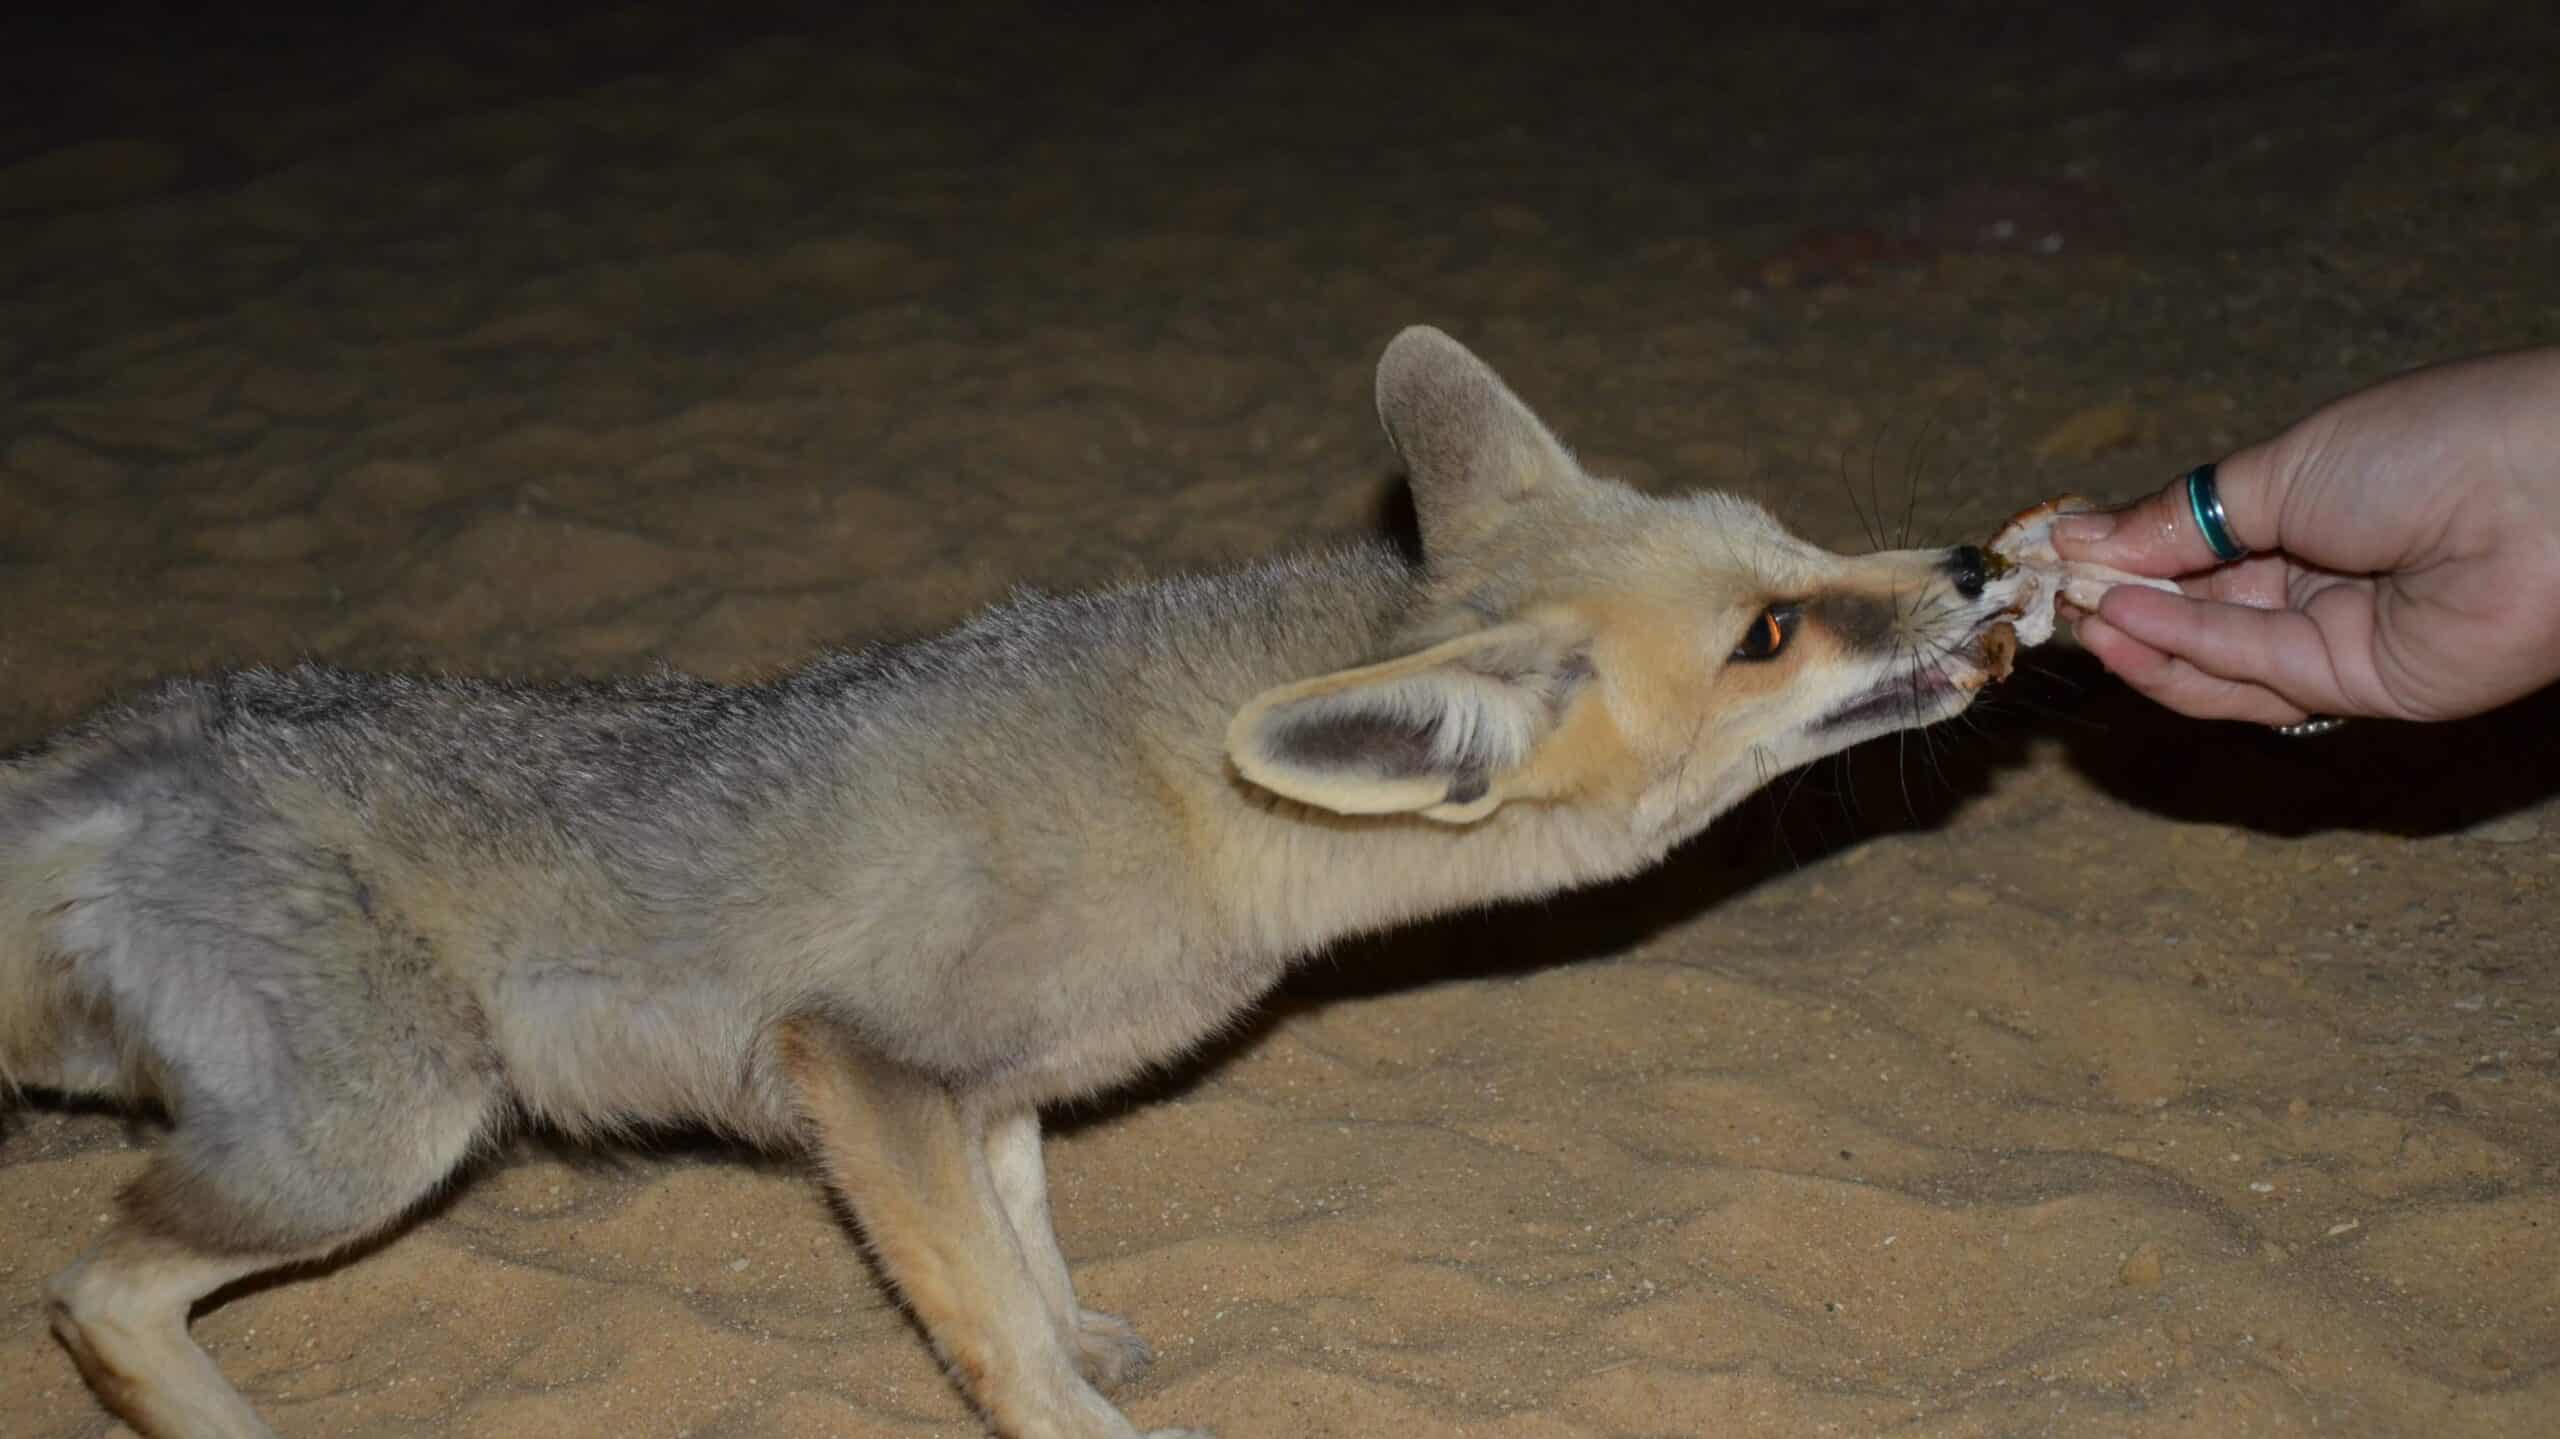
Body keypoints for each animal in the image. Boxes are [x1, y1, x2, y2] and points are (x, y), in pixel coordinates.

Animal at [1, 326, 2016, 1439]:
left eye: (1794, 542)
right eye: (1769, 632)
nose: (1985, 563)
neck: (1183, 785)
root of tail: (136, 740)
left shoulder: (987, 1087)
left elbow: (1026, 1239)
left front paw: (1083, 1330)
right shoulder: (862, 1067)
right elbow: (982, 1313)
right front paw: (1085, 1417)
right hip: (384, 1135)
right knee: (98, 1293)